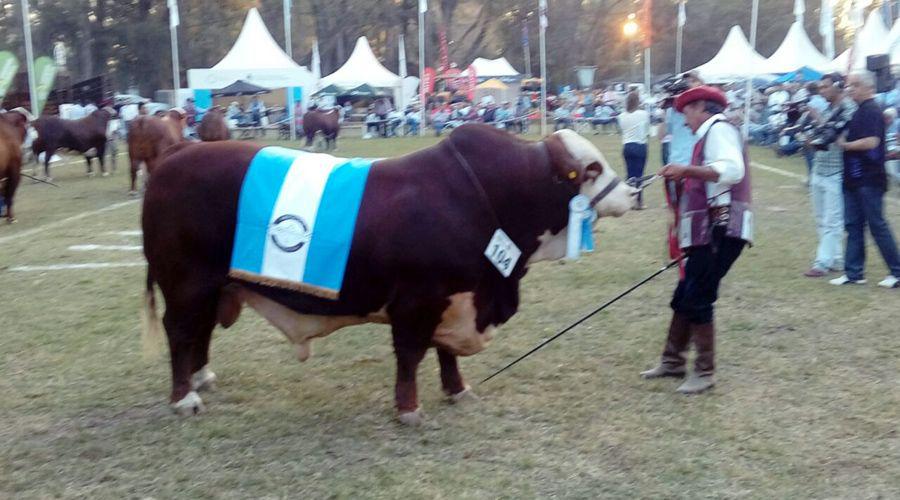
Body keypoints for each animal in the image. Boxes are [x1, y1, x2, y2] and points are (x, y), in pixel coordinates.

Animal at [142, 126, 640, 426]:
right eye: (591, 169)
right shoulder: (418, 302)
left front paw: (457, 391)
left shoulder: (455, 300)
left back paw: (202, 377)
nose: (634, 193)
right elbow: (411, 355)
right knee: (179, 330)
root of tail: (179, 151)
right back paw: (185, 397)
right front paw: (409, 410)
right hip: (186, 283)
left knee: (200, 330)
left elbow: (446, 353)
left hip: (212, 286)